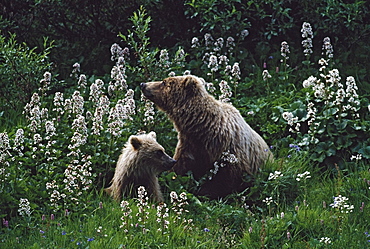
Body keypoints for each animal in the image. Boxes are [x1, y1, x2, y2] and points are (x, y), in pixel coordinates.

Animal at [140, 75, 274, 199]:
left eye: (164, 82)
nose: (143, 84)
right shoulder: (190, 144)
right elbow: (180, 167)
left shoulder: (228, 151)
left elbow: (226, 180)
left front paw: (206, 192)